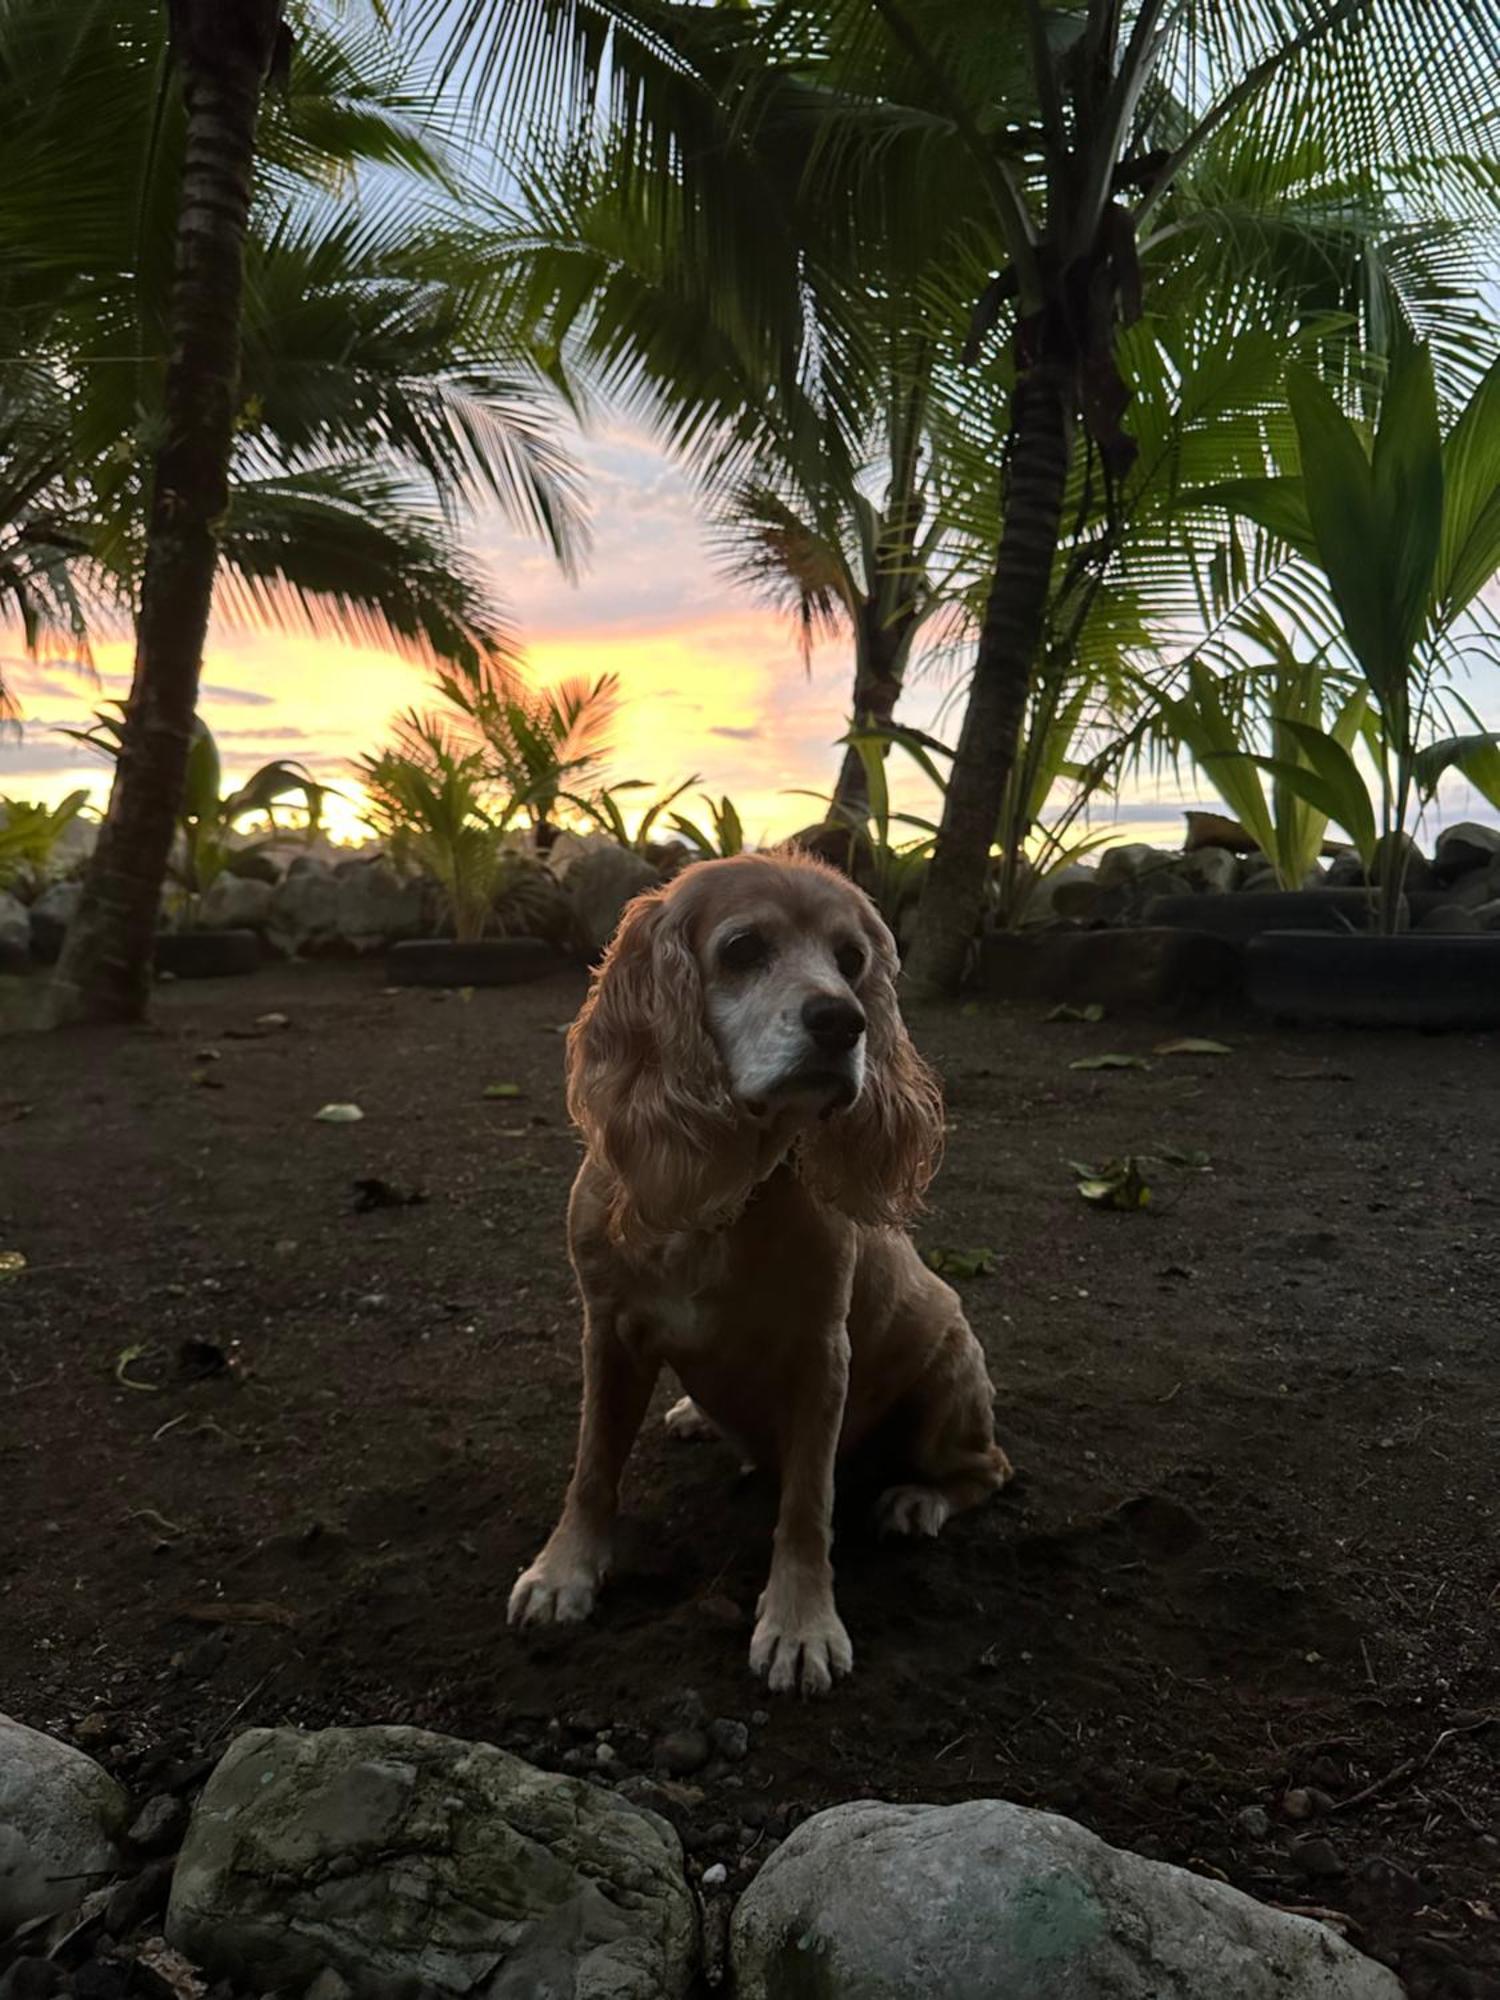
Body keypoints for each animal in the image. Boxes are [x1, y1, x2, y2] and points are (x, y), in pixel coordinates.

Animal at [512, 852, 1016, 1696]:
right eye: (743, 948)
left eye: (853, 960)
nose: (844, 1021)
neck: (727, 1193)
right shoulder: (608, 1331)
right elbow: (592, 1466)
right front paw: (564, 1572)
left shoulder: (820, 1356)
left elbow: (808, 1504)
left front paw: (800, 1625)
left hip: (948, 1381)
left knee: (987, 1468)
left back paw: (918, 1501)